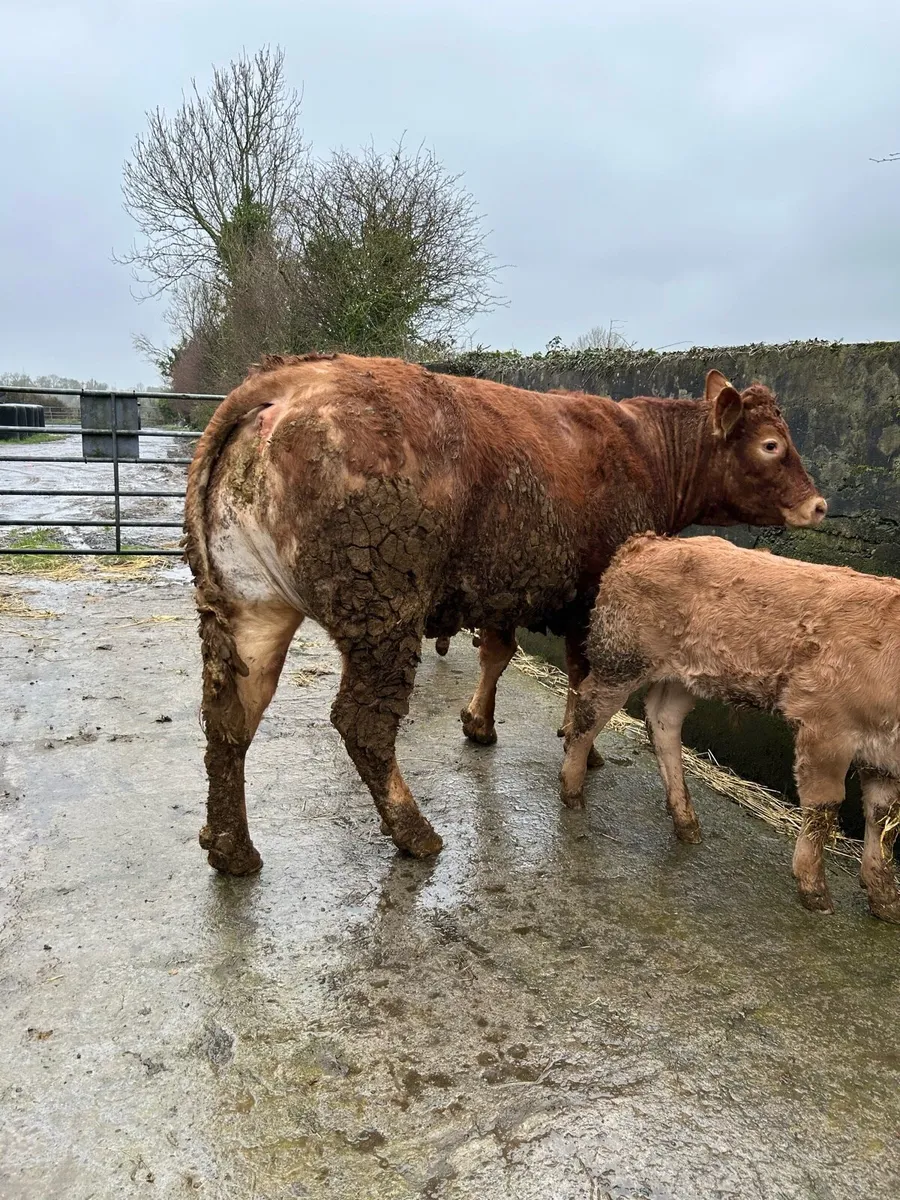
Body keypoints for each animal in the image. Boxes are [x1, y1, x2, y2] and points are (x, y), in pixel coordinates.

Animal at [183, 353, 824, 876]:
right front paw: (582, 750)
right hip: (382, 609)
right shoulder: (589, 596)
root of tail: (289, 379)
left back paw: (231, 848)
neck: (644, 448)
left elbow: (497, 653)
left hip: (251, 606)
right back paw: (415, 833)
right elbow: (581, 676)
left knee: (230, 715)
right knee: (362, 724)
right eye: (771, 444)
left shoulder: (501, 586)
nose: (819, 505)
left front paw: (481, 724)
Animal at [559, 534, 900, 923]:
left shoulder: (886, 755)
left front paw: (884, 897)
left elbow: (883, 820)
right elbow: (824, 808)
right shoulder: (825, 725)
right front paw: (814, 888)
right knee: (589, 710)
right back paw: (572, 789)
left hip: (682, 676)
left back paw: (685, 820)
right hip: (621, 659)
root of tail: (648, 542)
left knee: (662, 721)